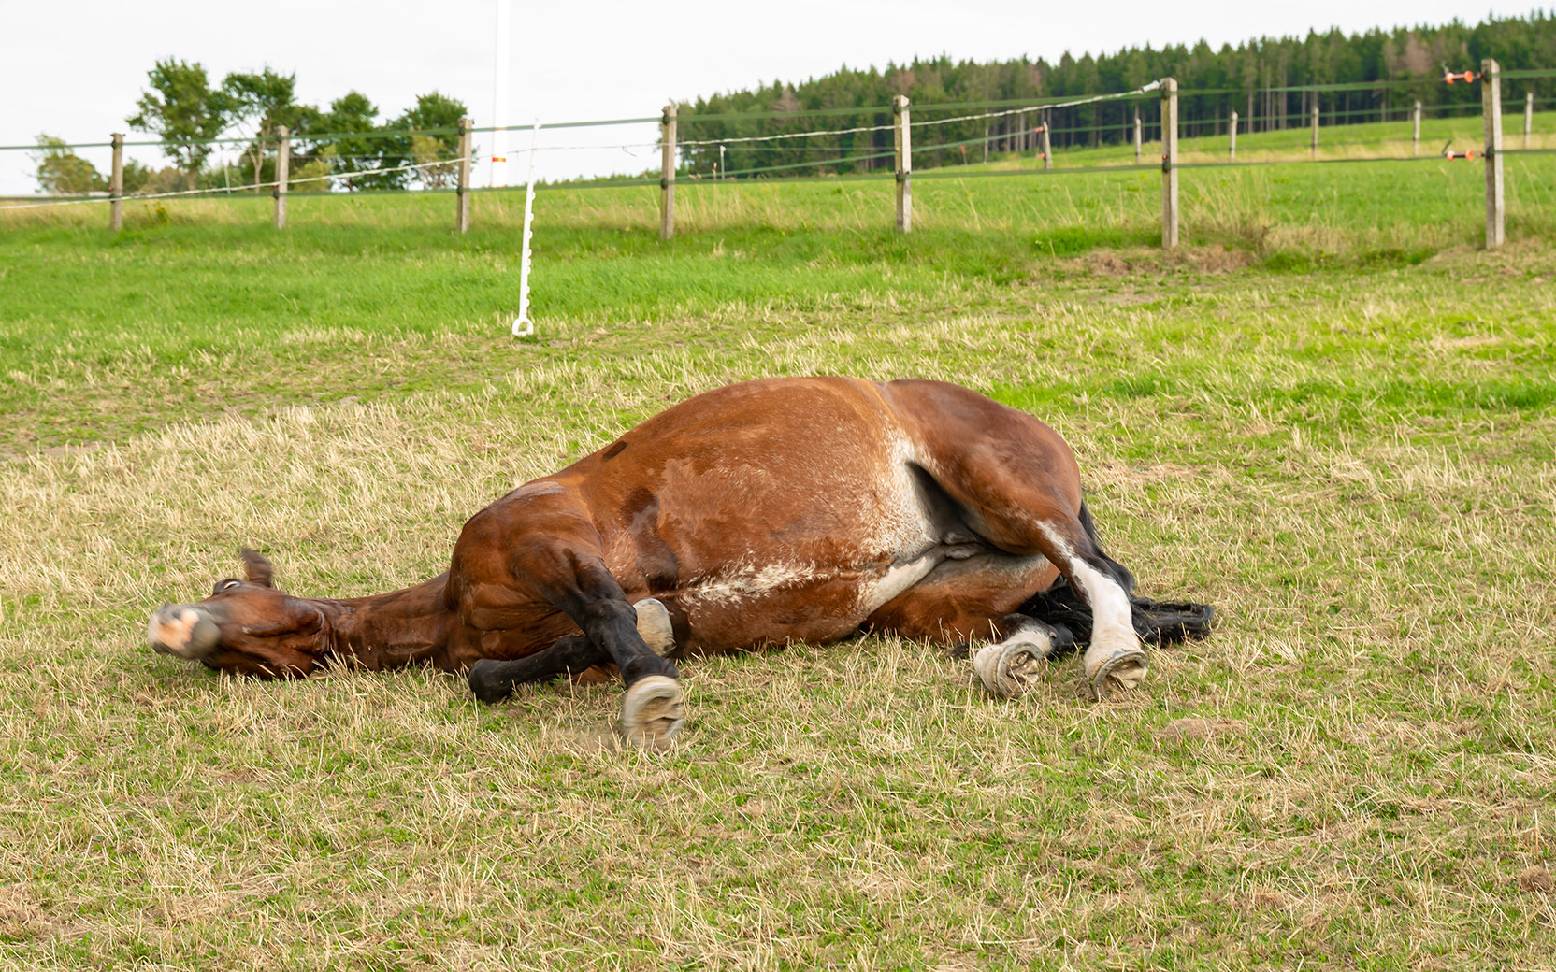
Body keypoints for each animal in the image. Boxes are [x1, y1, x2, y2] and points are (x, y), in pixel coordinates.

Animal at [148, 377, 1212, 748]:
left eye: (229, 587)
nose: (170, 626)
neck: (450, 601)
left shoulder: (547, 543)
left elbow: (611, 620)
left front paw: (651, 696)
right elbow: (515, 668)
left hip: (1003, 485)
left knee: (1100, 581)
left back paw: (1108, 655)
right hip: (934, 597)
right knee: (1067, 605)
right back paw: (1016, 659)